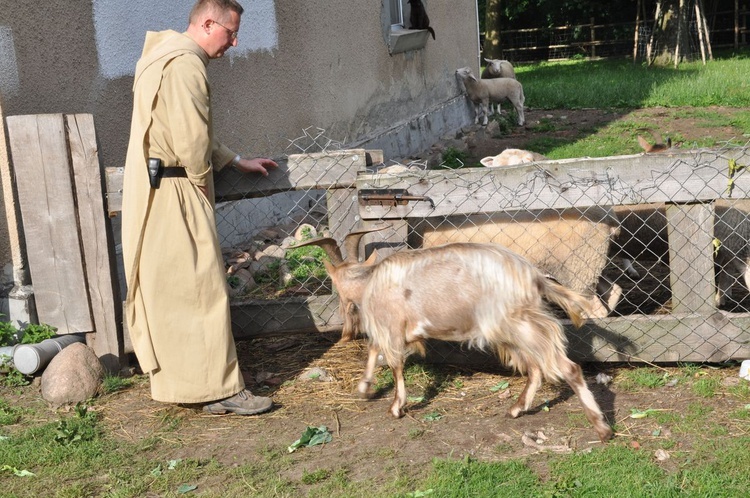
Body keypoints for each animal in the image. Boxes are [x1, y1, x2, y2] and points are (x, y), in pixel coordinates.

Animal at [302, 237, 612, 444]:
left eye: (336, 287)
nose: (345, 329)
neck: (370, 282)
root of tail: (533, 276)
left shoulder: (390, 326)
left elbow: (393, 363)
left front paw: (395, 407)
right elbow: (374, 351)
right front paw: (364, 389)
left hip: (516, 323)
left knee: (566, 367)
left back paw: (602, 428)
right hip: (512, 329)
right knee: (536, 368)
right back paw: (515, 409)